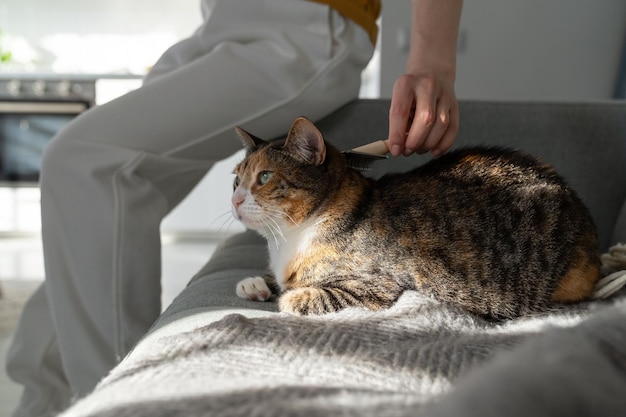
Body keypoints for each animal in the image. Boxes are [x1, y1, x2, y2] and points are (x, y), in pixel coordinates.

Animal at [230, 115, 600, 316]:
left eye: (264, 177)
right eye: (236, 178)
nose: (234, 198)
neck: (288, 240)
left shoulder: (371, 288)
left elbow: (296, 297)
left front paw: (283, 293)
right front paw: (257, 284)